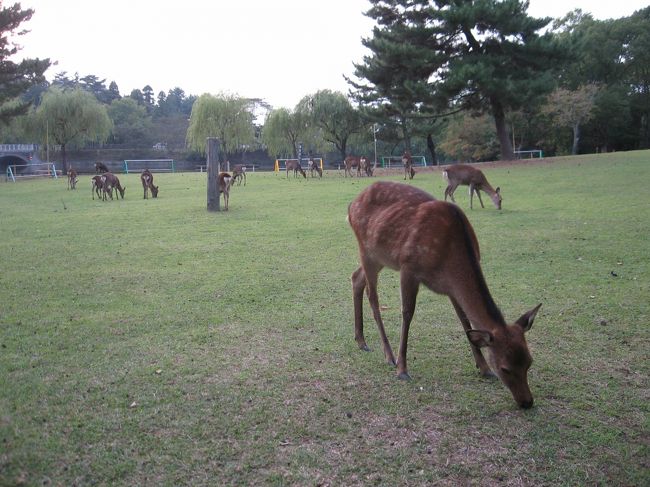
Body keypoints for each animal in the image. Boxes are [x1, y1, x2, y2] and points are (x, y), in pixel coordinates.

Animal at [348, 181, 541, 409]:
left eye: (529, 361)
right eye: (505, 368)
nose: (527, 402)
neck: (449, 257)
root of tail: (352, 204)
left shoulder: (451, 287)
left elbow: (465, 321)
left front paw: (484, 368)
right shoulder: (408, 267)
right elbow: (407, 313)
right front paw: (402, 369)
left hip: (380, 257)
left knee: (356, 278)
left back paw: (361, 341)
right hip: (366, 249)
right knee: (373, 297)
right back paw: (388, 355)